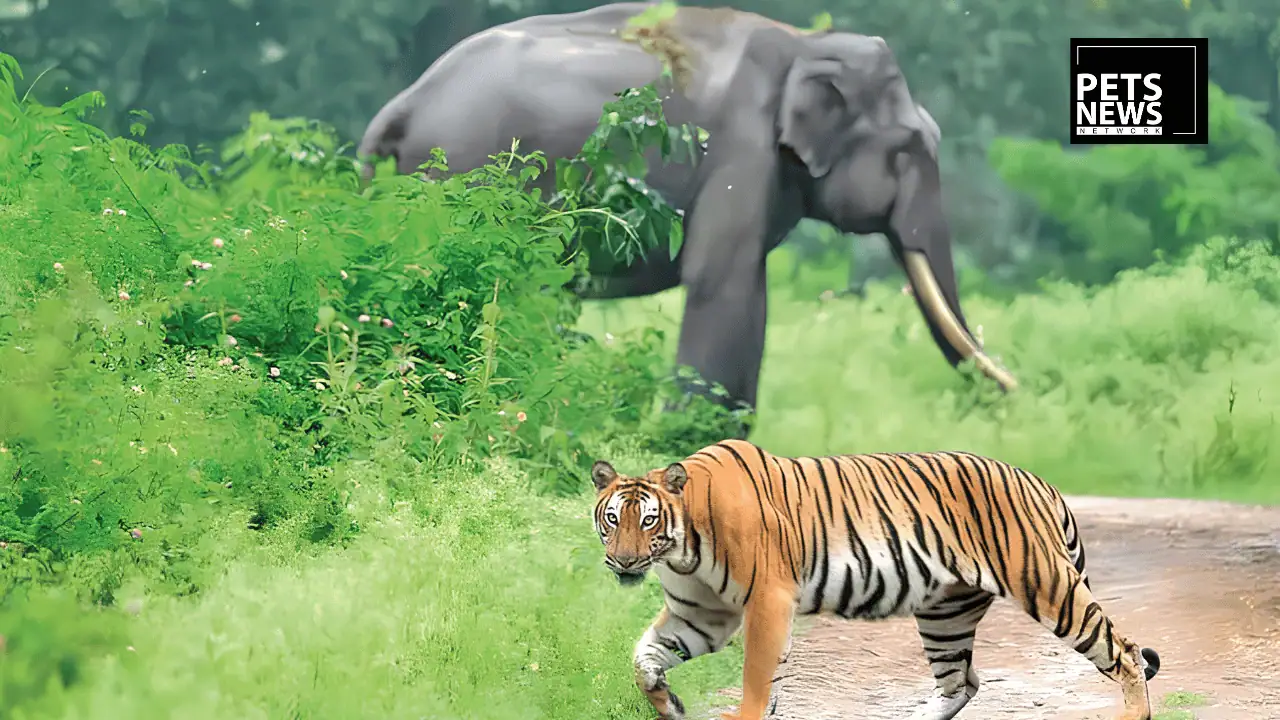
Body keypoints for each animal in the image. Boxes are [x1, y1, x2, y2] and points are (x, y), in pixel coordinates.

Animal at [357, 2, 1018, 436]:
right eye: (910, 150)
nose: (1011, 392)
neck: (805, 46)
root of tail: (397, 109)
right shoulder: (741, 148)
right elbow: (722, 281)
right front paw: (688, 442)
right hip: (465, 175)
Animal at [589, 439, 1161, 720]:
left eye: (648, 521)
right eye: (613, 519)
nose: (623, 562)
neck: (684, 548)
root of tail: (1040, 483)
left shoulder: (768, 601)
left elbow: (755, 679)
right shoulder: (701, 615)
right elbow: (642, 659)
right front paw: (669, 703)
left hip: (1048, 586)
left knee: (1125, 652)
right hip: (946, 613)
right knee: (961, 683)